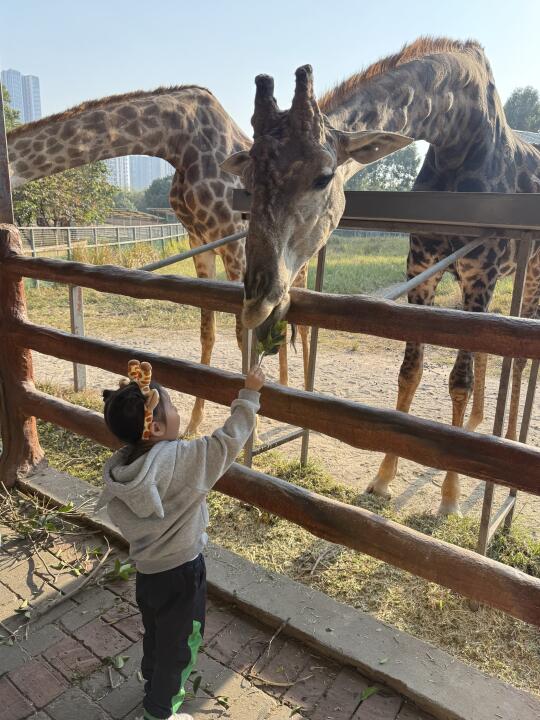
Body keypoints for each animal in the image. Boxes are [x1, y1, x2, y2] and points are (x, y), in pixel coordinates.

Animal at [7, 84, 312, 434]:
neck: (177, 139)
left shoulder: (233, 238)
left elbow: (241, 335)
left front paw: (256, 432)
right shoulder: (201, 241)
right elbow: (207, 332)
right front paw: (194, 423)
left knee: (302, 325)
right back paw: (287, 387)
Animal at [221, 36, 540, 516]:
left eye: (323, 177)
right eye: (248, 179)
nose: (258, 300)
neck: (460, 136)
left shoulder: (478, 274)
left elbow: (458, 380)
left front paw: (450, 499)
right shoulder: (422, 269)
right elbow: (410, 371)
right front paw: (383, 479)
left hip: (530, 275)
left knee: (519, 358)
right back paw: (479, 425)